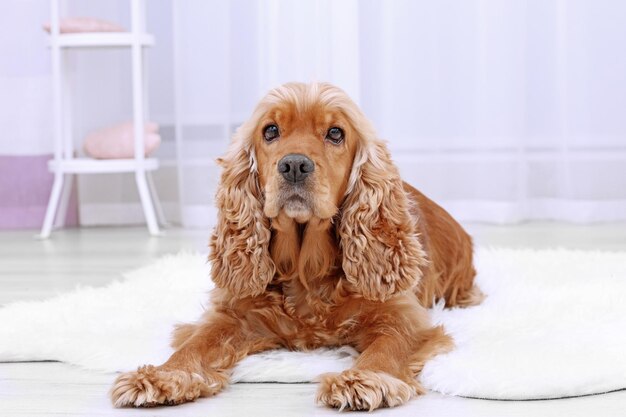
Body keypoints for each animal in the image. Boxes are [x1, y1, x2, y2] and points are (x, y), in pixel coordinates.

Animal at [109, 81, 480, 410]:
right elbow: (197, 343)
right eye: (271, 130)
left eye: (335, 133)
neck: (307, 270)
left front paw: (365, 379)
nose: (295, 165)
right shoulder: (234, 312)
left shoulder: (402, 315)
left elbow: (389, 347)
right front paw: (163, 375)